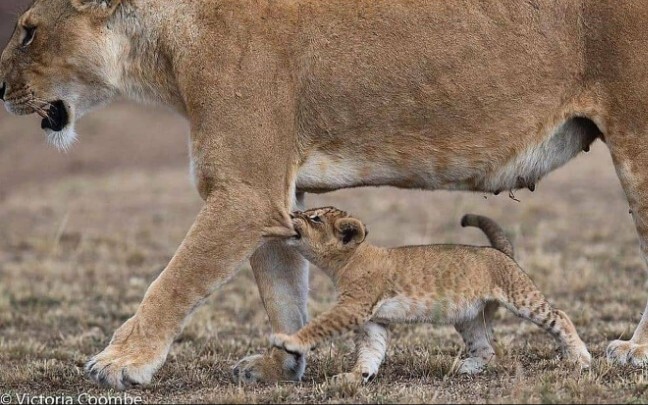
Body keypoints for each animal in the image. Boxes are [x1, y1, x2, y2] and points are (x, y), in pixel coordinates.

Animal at [269, 208, 591, 383]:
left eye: (314, 218)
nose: (291, 214)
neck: (347, 261)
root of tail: (500, 251)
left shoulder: (353, 307)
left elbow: (319, 326)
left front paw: (288, 341)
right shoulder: (373, 320)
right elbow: (370, 352)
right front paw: (357, 377)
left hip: (520, 296)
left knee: (559, 316)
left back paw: (580, 358)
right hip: (468, 317)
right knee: (486, 348)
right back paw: (467, 367)